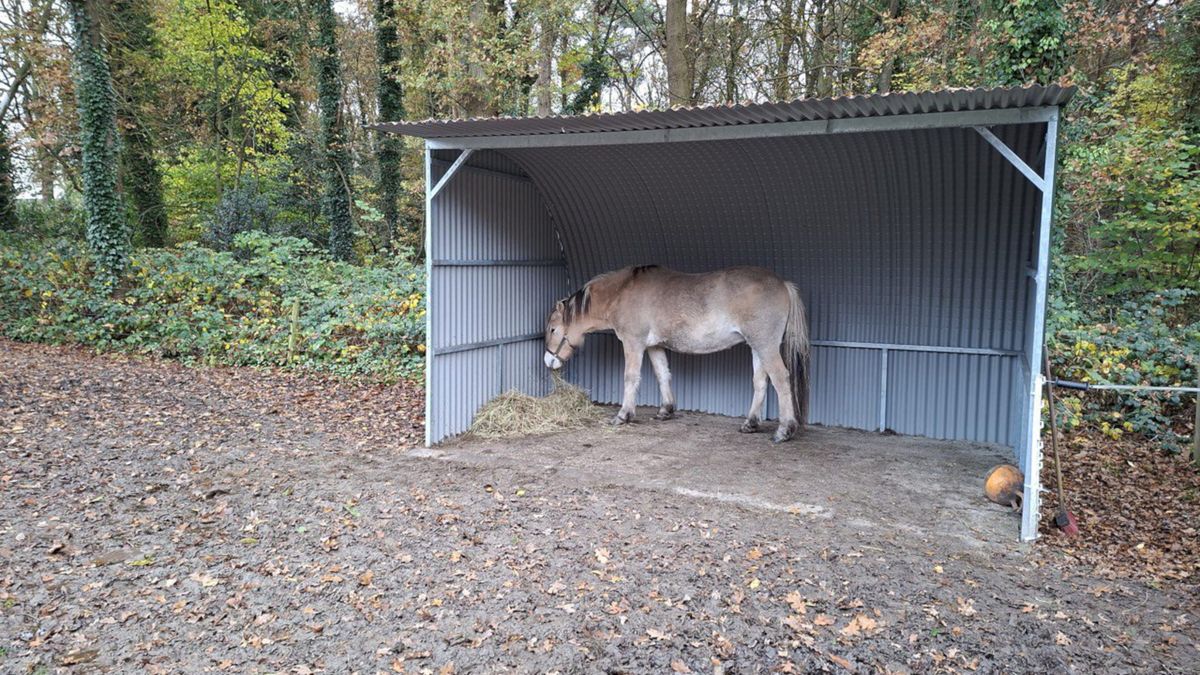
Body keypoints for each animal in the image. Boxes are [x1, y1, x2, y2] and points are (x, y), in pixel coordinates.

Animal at [543, 265, 810, 443]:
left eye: (553, 329)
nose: (548, 361)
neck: (623, 292)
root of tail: (783, 284)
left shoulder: (633, 343)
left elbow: (631, 378)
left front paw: (623, 415)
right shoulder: (654, 346)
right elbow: (663, 374)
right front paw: (666, 410)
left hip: (765, 345)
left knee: (781, 379)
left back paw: (784, 430)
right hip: (757, 346)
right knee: (761, 382)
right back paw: (750, 423)